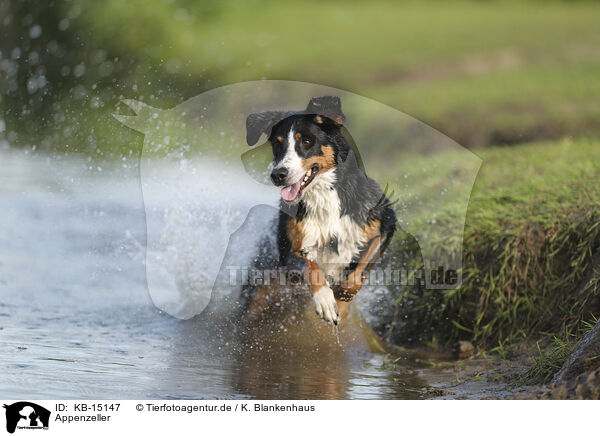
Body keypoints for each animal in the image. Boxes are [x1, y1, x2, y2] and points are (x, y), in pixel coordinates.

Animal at [241, 97, 396, 326]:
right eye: (277, 143)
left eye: (306, 141)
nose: (278, 174)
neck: (324, 197)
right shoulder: (288, 253)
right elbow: (309, 265)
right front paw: (324, 298)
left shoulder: (385, 225)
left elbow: (361, 269)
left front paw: (342, 293)